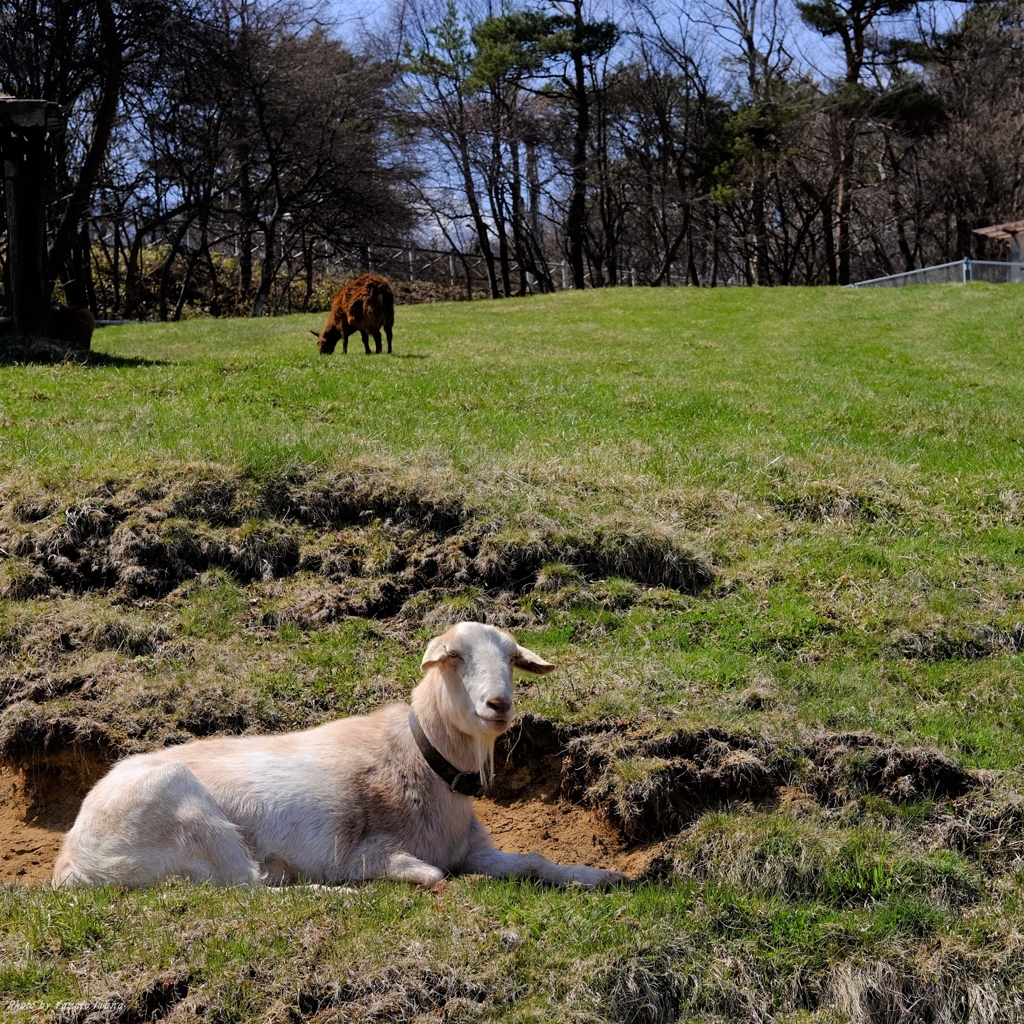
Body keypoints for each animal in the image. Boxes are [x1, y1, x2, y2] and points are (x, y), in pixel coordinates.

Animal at [51, 618, 626, 892]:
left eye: (511, 658)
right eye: (454, 657)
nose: (499, 705)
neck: (417, 760)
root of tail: (73, 858)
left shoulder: (470, 847)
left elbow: (534, 860)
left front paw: (600, 876)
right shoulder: (364, 852)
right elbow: (434, 875)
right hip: (191, 820)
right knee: (252, 886)